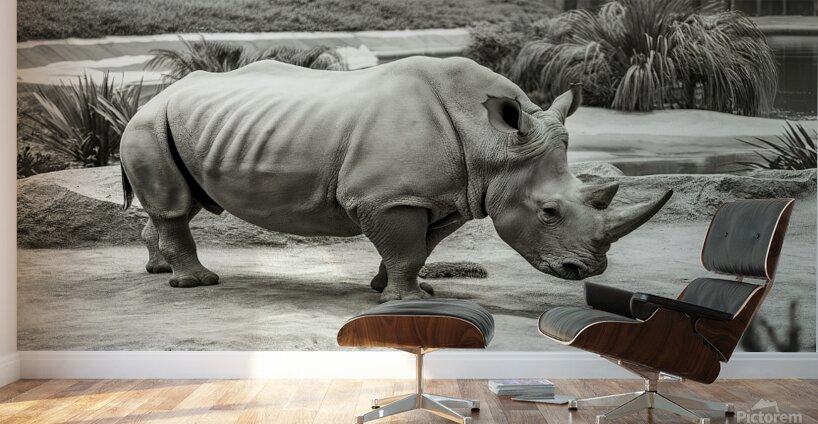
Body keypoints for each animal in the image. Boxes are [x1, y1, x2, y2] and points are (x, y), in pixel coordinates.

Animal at [120, 56, 672, 302]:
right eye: (549, 213)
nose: (587, 271)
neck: (493, 146)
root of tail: (155, 94)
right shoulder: (389, 197)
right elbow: (405, 246)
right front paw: (406, 301)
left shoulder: (450, 197)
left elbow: (420, 247)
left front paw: (398, 289)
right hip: (148, 122)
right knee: (175, 206)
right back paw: (195, 284)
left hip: (184, 124)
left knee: (181, 203)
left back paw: (157, 269)